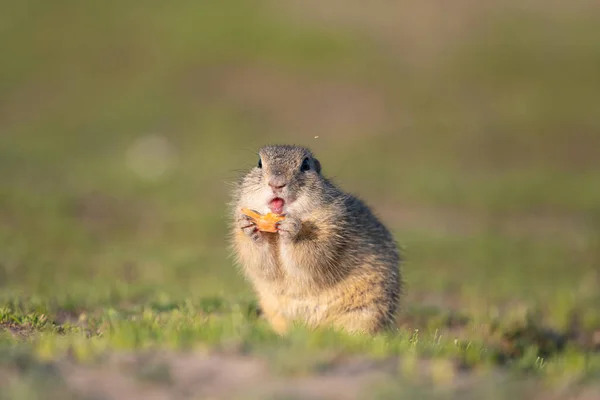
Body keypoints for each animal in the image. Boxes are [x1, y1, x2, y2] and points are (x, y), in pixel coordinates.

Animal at [231, 144, 404, 334]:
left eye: (305, 165)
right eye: (259, 163)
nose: (276, 183)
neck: (276, 234)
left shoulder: (333, 226)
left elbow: (314, 254)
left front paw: (292, 231)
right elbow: (260, 264)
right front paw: (249, 226)